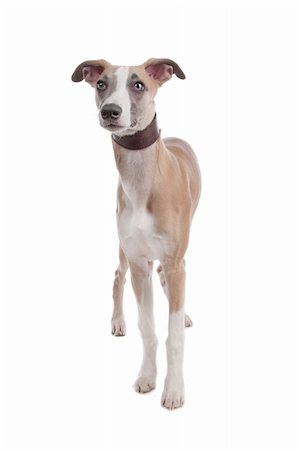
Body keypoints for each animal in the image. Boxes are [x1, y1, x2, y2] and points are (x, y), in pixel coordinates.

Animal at [71, 58, 202, 410]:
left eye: (138, 84)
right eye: (101, 84)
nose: (110, 112)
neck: (143, 179)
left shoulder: (175, 261)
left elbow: (174, 334)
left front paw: (173, 390)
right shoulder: (138, 261)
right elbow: (147, 328)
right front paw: (147, 377)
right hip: (124, 251)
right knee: (118, 277)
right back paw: (118, 320)